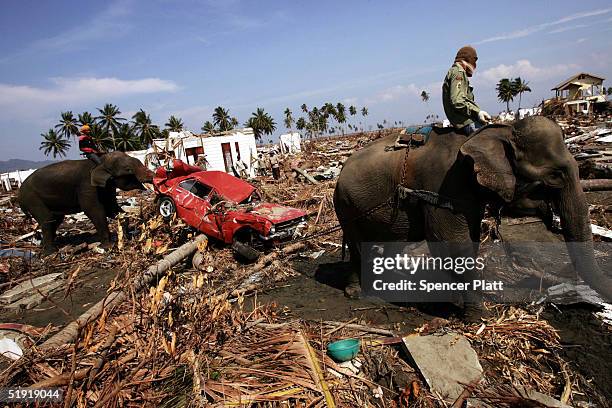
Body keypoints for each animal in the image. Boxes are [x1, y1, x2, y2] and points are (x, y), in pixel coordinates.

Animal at [19, 151, 154, 253]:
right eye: (128, 170)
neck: (100, 161)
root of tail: (19, 194)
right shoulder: (86, 186)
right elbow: (94, 210)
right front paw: (108, 246)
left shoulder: (107, 187)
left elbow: (112, 208)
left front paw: (126, 235)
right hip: (32, 198)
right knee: (47, 219)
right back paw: (51, 252)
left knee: (55, 219)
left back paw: (44, 246)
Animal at [334, 115, 612, 302]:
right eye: (555, 175)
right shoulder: (444, 187)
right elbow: (449, 241)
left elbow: (471, 239)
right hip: (346, 206)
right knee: (358, 246)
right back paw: (356, 292)